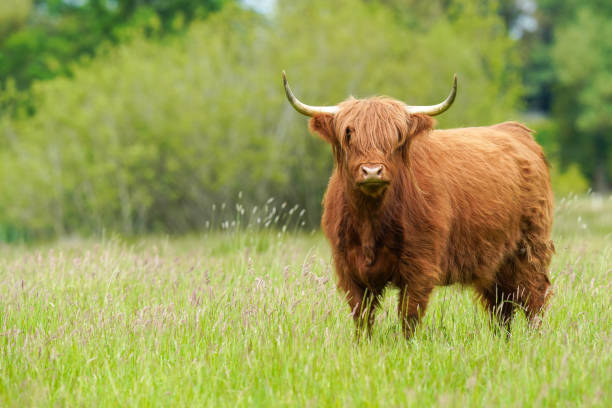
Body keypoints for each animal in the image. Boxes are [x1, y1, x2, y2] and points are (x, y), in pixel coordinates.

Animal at [282, 71, 556, 340]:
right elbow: (362, 316)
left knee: (534, 297)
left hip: (530, 248)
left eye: (396, 135)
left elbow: (408, 316)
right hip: (496, 260)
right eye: (348, 133)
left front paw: (406, 346)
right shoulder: (349, 268)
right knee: (500, 306)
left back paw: (534, 340)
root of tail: (516, 131)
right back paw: (502, 341)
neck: (371, 219)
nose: (372, 171)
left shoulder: (419, 265)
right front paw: (363, 345)